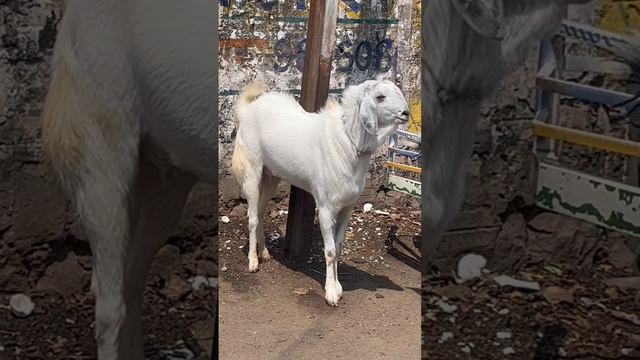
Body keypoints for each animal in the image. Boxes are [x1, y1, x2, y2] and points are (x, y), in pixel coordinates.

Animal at [232, 80, 408, 306]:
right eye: (380, 97)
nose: (406, 113)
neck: (347, 141)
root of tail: (247, 110)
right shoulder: (325, 206)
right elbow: (331, 251)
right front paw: (331, 292)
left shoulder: (347, 207)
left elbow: (339, 246)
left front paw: (338, 285)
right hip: (252, 169)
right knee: (252, 217)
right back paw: (253, 261)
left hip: (271, 176)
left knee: (261, 213)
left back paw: (264, 253)